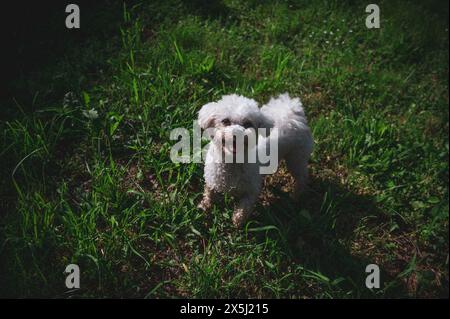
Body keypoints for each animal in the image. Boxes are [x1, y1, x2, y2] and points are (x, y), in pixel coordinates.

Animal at [197, 94, 312, 229]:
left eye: (248, 123)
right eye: (225, 121)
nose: (236, 134)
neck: (233, 162)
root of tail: (292, 111)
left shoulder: (252, 190)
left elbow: (244, 208)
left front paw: (237, 222)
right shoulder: (212, 181)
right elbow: (208, 195)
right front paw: (204, 207)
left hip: (296, 158)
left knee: (301, 177)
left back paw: (296, 196)